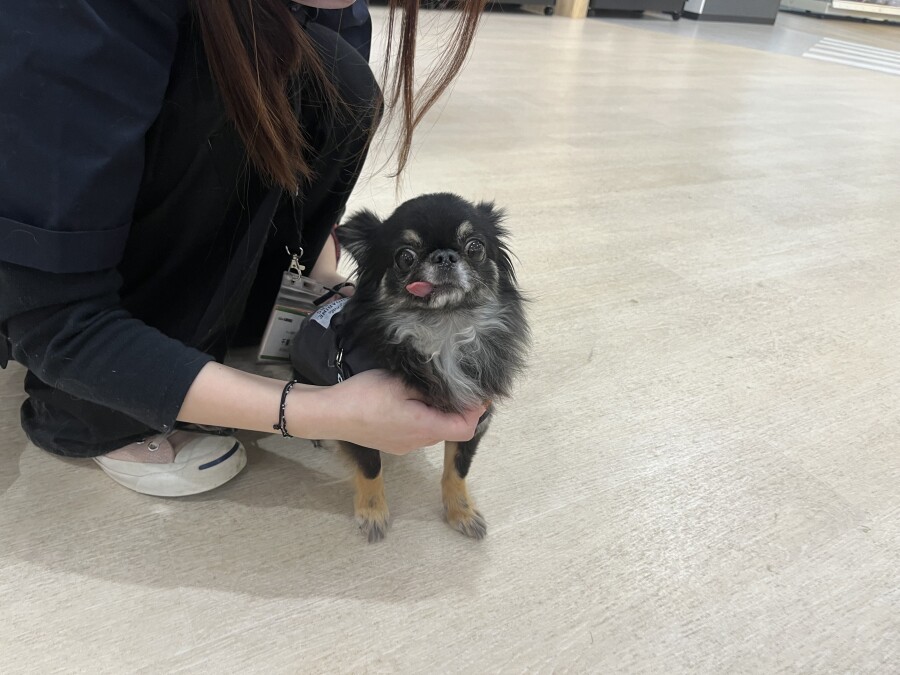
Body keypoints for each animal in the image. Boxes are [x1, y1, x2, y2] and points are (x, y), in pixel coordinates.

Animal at [332, 192, 529, 541]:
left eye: (475, 248)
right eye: (405, 257)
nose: (445, 257)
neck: (444, 332)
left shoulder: (475, 421)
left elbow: (457, 470)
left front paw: (460, 511)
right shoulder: (357, 423)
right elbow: (370, 468)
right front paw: (372, 512)